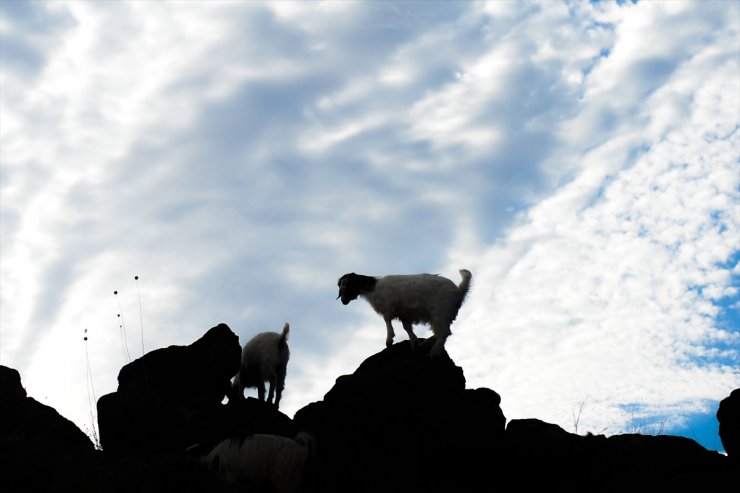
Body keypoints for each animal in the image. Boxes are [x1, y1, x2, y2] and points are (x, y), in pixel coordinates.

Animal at [338, 268, 472, 356]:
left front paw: (389, 340)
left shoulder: (388, 308)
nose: (343, 301)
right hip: (442, 315)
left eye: (347, 283)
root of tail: (458, 291)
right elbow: (406, 328)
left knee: (444, 333)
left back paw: (433, 353)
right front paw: (414, 343)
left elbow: (387, 321)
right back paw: (425, 344)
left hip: (439, 312)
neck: (373, 288)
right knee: (442, 331)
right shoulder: (404, 314)